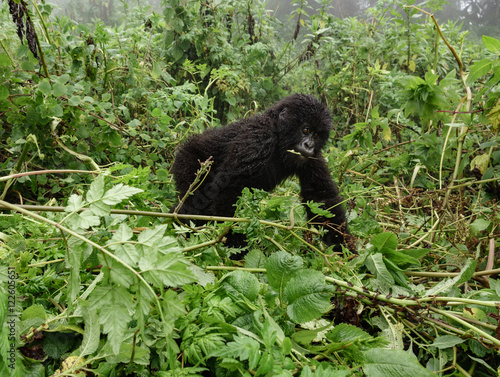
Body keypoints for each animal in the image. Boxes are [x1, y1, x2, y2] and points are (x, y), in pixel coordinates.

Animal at [172, 94, 352, 253]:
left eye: (317, 135)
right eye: (306, 130)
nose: (309, 145)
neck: (278, 133)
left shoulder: (313, 157)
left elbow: (321, 198)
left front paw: (346, 252)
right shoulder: (258, 139)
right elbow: (229, 191)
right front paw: (235, 246)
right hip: (188, 162)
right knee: (194, 202)